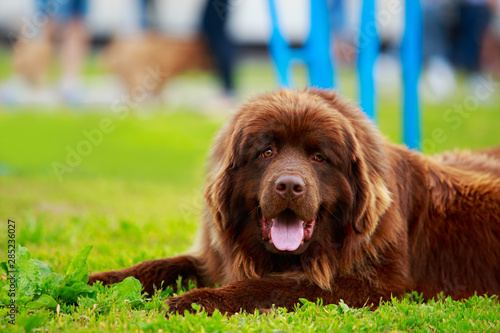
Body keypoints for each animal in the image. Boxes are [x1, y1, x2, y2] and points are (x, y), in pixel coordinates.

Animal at [90, 89, 500, 314]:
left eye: (318, 157)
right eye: (267, 152)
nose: (289, 186)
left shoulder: (369, 286)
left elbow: (272, 286)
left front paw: (195, 300)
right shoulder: (215, 258)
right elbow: (158, 266)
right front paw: (99, 281)